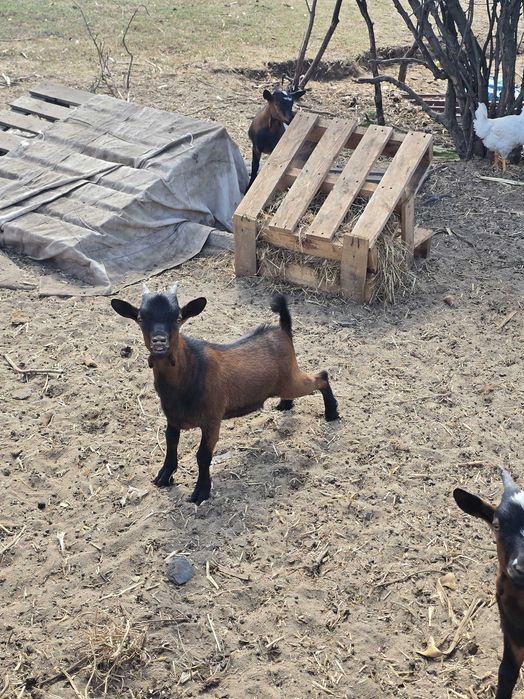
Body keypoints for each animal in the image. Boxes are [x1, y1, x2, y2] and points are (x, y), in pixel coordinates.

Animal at [111, 286, 339, 505]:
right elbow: (170, 444)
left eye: (177, 318)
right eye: (141, 318)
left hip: (291, 381)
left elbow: (203, 456)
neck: (191, 371)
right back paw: (285, 405)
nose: (159, 343)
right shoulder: (172, 418)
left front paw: (201, 492)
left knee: (321, 376)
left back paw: (332, 413)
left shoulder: (212, 420)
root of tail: (282, 329)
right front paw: (164, 477)